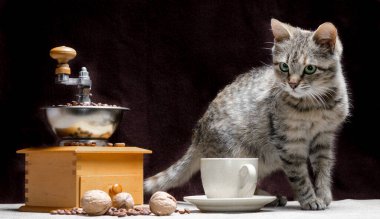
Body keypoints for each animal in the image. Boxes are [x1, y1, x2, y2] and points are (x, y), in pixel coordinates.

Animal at [144, 19, 348, 210]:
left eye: (310, 69)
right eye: (284, 67)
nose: (292, 84)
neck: (314, 105)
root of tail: (198, 134)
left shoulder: (323, 138)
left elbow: (323, 169)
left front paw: (323, 195)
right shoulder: (289, 143)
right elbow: (299, 176)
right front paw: (309, 200)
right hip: (239, 153)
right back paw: (270, 198)